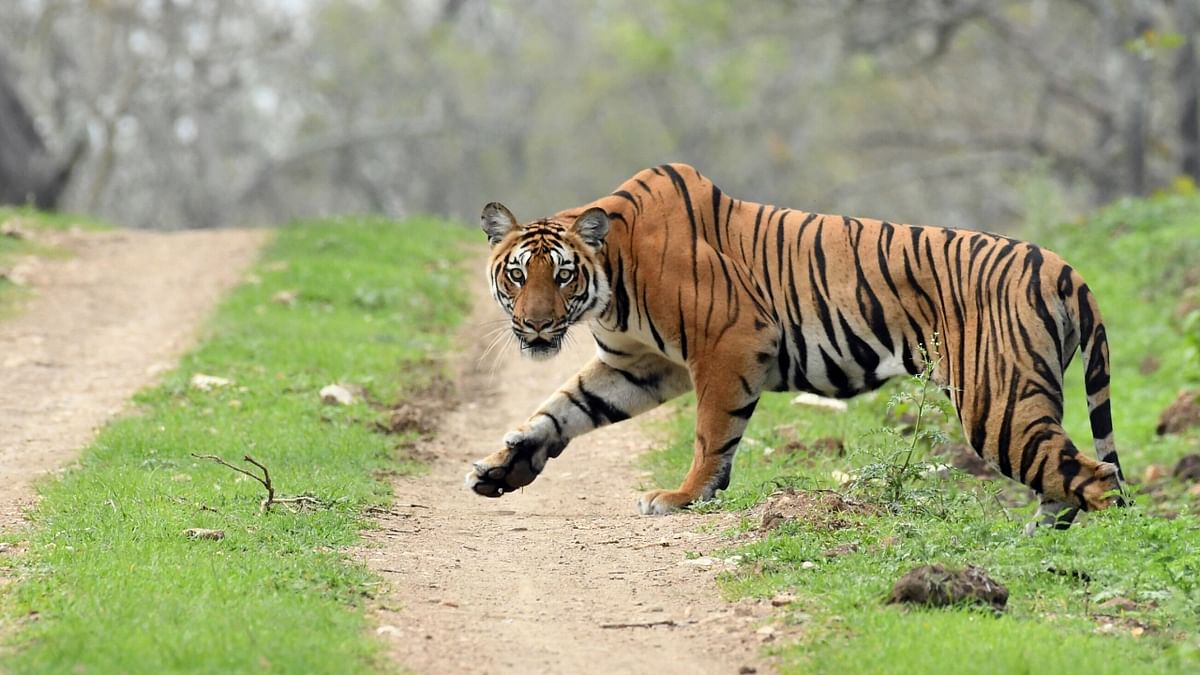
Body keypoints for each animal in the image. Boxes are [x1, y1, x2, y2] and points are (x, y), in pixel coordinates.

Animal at [465, 159, 1123, 528]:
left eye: (562, 276)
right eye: (518, 275)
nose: (537, 325)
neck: (610, 279)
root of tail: (1066, 268)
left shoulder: (728, 341)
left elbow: (711, 433)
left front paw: (683, 498)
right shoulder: (638, 365)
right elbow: (560, 411)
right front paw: (501, 468)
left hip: (997, 401)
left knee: (1097, 479)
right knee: (1067, 481)